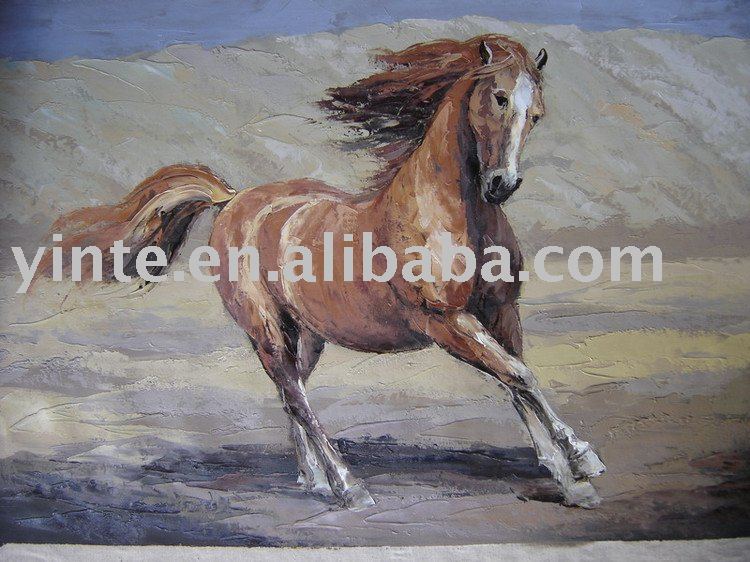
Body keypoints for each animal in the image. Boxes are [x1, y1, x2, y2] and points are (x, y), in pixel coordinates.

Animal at [33, 34, 606, 509]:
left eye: (538, 114)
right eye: (500, 98)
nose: (501, 184)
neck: (446, 213)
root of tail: (235, 199)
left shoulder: (501, 312)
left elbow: (518, 381)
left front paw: (570, 478)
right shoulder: (446, 323)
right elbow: (520, 376)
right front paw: (582, 460)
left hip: (306, 331)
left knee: (294, 391)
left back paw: (312, 478)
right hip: (263, 326)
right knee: (293, 393)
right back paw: (347, 486)